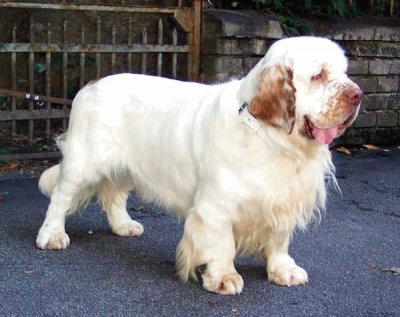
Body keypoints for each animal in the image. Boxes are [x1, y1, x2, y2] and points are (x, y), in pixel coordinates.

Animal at [36, 36, 362, 294]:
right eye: (318, 76)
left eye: (345, 73)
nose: (357, 94)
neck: (272, 139)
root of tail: (90, 85)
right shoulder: (215, 207)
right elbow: (221, 244)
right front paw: (224, 277)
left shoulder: (283, 199)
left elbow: (280, 239)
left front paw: (283, 270)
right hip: (84, 163)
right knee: (60, 197)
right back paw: (51, 235)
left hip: (126, 166)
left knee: (114, 195)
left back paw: (123, 225)